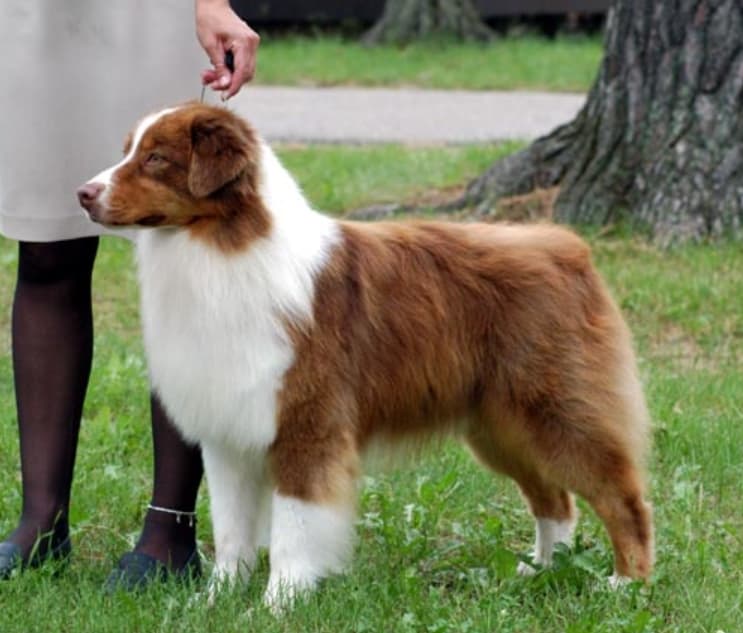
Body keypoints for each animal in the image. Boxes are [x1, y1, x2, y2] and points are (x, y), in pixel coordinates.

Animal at [78, 103, 652, 608]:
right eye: (128, 151)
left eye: (156, 158)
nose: (83, 193)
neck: (220, 246)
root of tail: (566, 247)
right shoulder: (229, 431)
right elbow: (233, 530)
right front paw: (215, 599)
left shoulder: (307, 423)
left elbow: (293, 527)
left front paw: (279, 603)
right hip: (499, 426)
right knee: (555, 500)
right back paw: (544, 570)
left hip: (556, 411)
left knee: (621, 496)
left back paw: (628, 583)